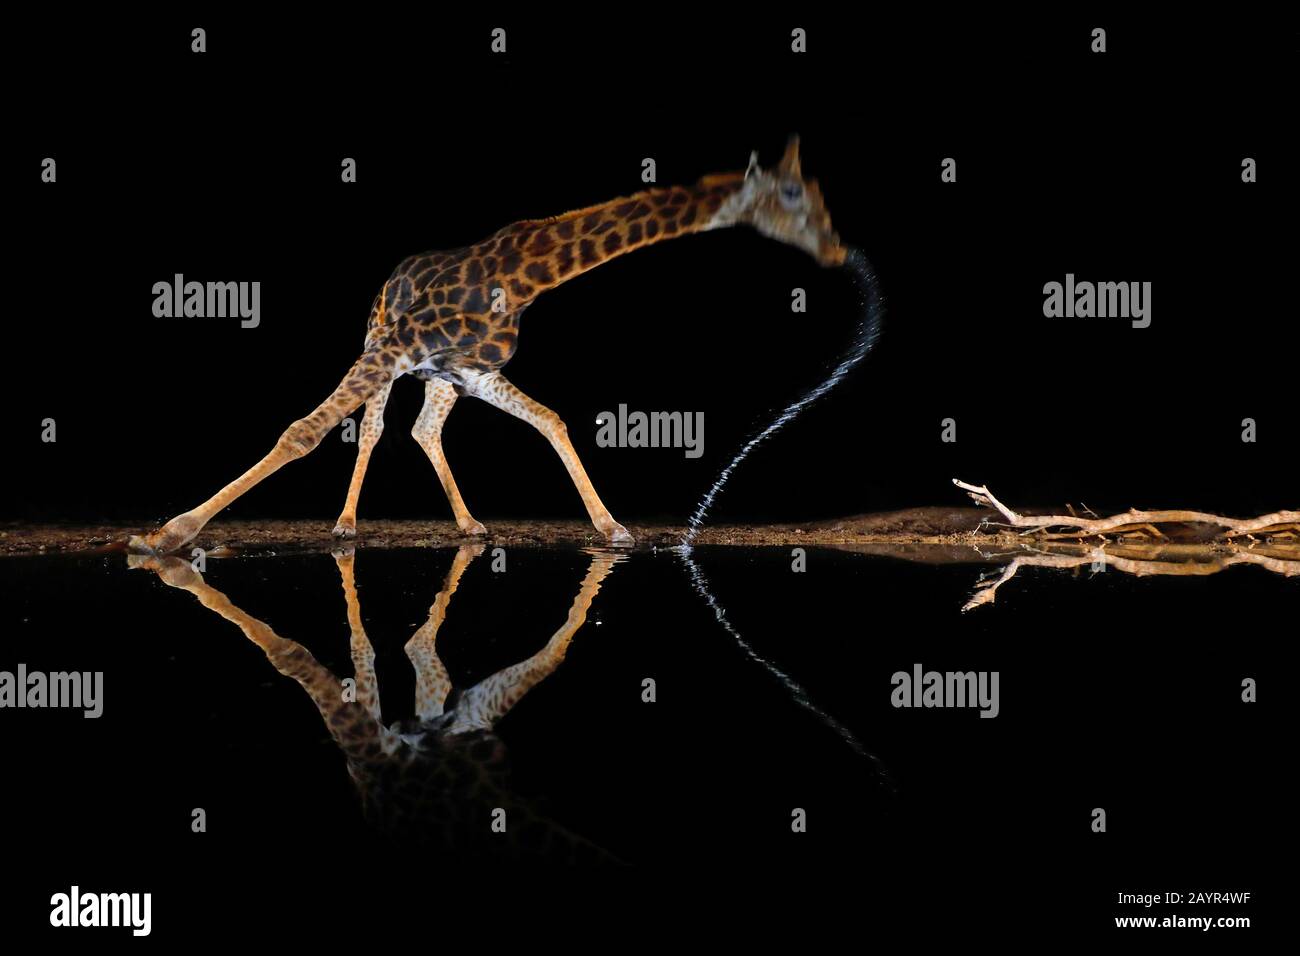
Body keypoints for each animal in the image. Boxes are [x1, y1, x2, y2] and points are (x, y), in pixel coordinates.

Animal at [130, 136, 845, 554]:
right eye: (790, 193)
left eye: (816, 192)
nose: (838, 252)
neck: (527, 274)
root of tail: (389, 278)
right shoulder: (403, 348)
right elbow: (304, 431)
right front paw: (169, 533)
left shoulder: (471, 372)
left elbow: (552, 420)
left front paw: (613, 527)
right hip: (379, 339)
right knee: (371, 428)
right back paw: (345, 525)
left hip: (435, 377)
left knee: (421, 429)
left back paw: (469, 526)